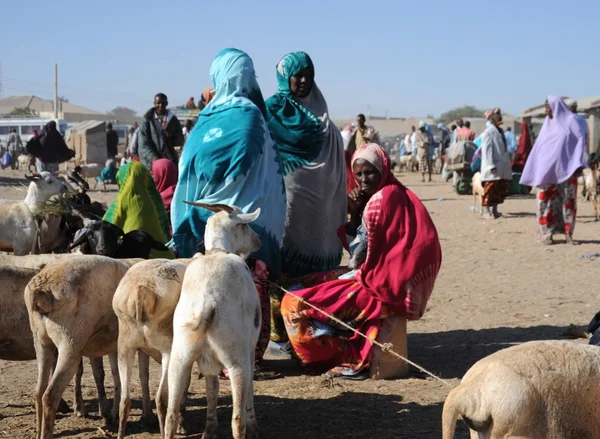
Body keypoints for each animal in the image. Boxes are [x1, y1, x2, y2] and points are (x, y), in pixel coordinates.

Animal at [25, 256, 141, 438]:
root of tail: (41, 288)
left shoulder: (110, 344)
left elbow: (112, 375)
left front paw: (111, 414)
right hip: (71, 341)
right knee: (50, 395)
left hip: (41, 341)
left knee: (38, 391)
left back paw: (38, 432)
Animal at [163, 203, 262, 439]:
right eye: (245, 225)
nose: (258, 241)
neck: (218, 251)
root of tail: (207, 302)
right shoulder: (250, 350)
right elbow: (250, 391)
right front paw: (255, 427)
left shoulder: (208, 362)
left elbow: (212, 390)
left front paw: (210, 430)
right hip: (236, 361)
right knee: (237, 419)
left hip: (180, 358)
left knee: (171, 415)